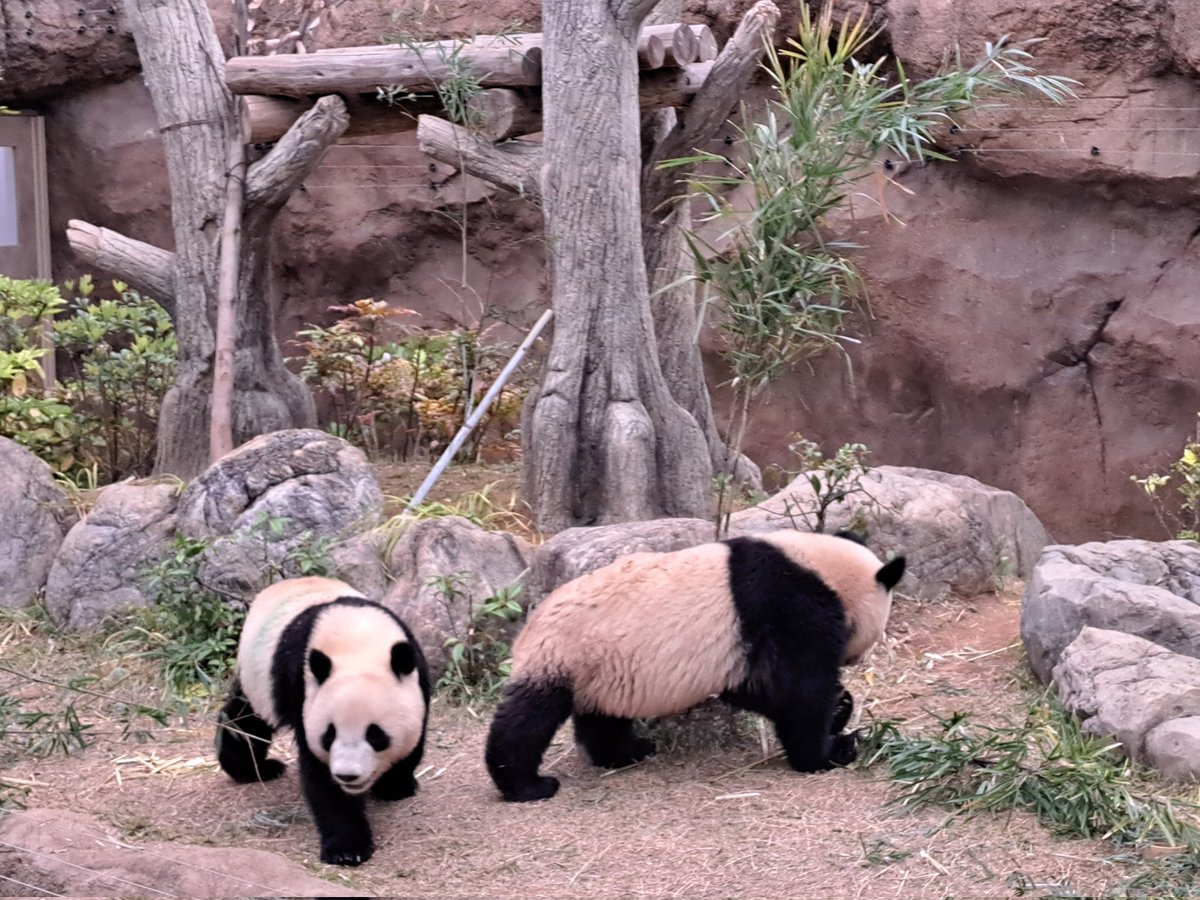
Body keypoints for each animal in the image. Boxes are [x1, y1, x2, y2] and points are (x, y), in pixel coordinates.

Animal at [215, 576, 431, 866]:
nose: (348, 775)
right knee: (246, 721)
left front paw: (396, 785)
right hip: (257, 675)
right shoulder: (301, 686)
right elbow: (320, 774)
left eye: (375, 735)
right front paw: (347, 848)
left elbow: (416, 736)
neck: (357, 641)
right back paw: (253, 769)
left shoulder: (418, 675)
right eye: (329, 735)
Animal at [485, 530, 905, 802]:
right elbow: (794, 691)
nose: (857, 658)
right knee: (528, 719)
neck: (822, 569)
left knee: (602, 718)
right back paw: (526, 785)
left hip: (602, 669)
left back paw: (628, 751)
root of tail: (530, 626)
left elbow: (757, 689)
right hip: (564, 655)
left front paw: (841, 707)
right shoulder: (789, 606)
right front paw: (833, 748)